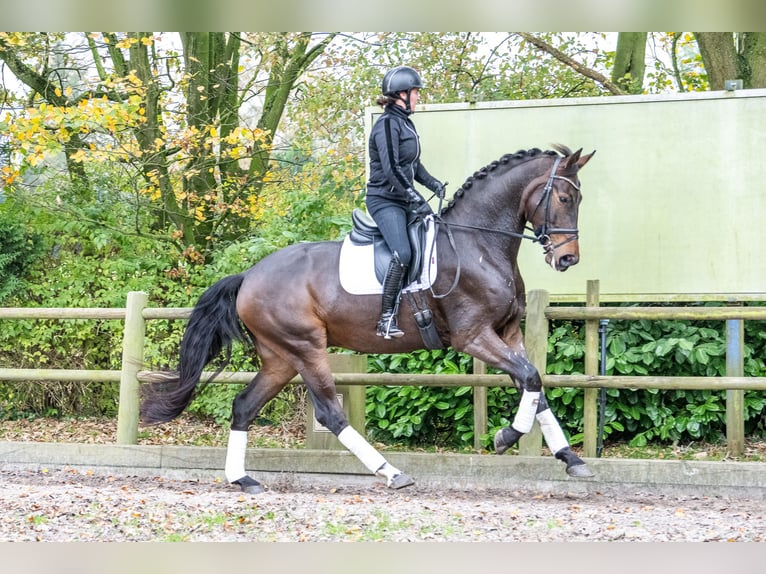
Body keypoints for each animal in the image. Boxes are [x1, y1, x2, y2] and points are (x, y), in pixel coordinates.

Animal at [142, 145, 600, 496]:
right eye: (563, 198)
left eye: (579, 200)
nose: (567, 259)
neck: (478, 244)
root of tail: (249, 276)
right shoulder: (473, 337)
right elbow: (530, 379)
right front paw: (508, 437)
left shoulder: (507, 332)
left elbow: (534, 384)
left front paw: (571, 458)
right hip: (306, 348)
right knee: (330, 413)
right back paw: (391, 472)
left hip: (280, 357)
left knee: (244, 406)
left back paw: (243, 479)